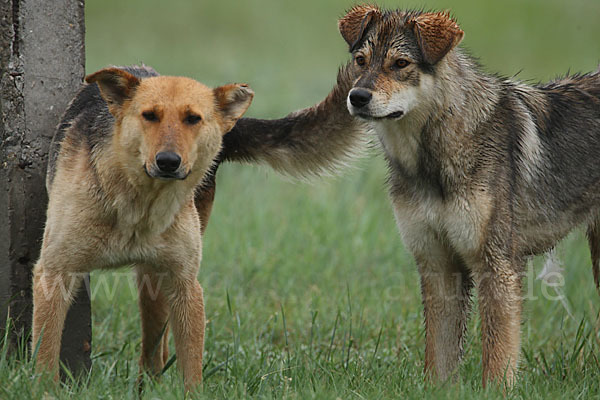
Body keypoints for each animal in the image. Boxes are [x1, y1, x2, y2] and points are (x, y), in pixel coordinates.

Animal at [31, 66, 252, 390]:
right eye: (149, 115)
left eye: (193, 119)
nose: (168, 162)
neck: (140, 204)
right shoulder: (54, 273)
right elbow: (46, 353)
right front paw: (44, 391)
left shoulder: (185, 284)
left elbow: (191, 366)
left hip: (155, 286)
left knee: (153, 351)